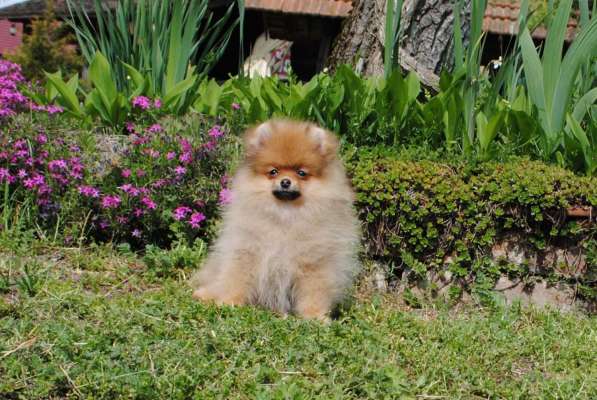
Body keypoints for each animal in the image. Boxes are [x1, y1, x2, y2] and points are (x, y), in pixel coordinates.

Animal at [191, 119, 358, 322]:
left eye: (301, 173)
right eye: (273, 171)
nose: (285, 181)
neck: (284, 214)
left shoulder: (316, 262)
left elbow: (314, 291)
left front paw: (315, 316)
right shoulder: (246, 250)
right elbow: (236, 277)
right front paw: (229, 301)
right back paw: (205, 294)